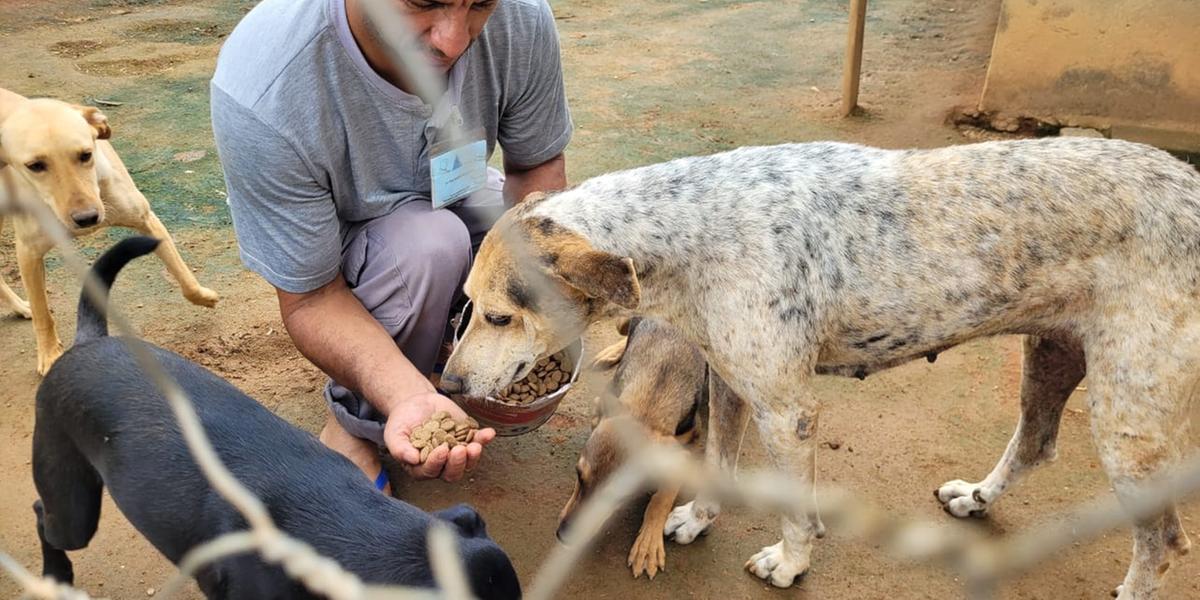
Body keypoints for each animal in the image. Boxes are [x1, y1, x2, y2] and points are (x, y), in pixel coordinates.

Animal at [1, 86, 216, 372]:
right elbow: (42, 313)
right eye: (35, 166)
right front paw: (49, 354)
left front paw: (205, 297)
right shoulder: (28, 252)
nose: (87, 218)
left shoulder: (145, 219)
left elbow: (184, 276)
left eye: (86, 155)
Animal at [554, 316, 710, 578]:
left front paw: (648, 545)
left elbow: (662, 498)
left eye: (617, 497)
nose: (563, 536)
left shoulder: (683, 452)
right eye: (579, 475)